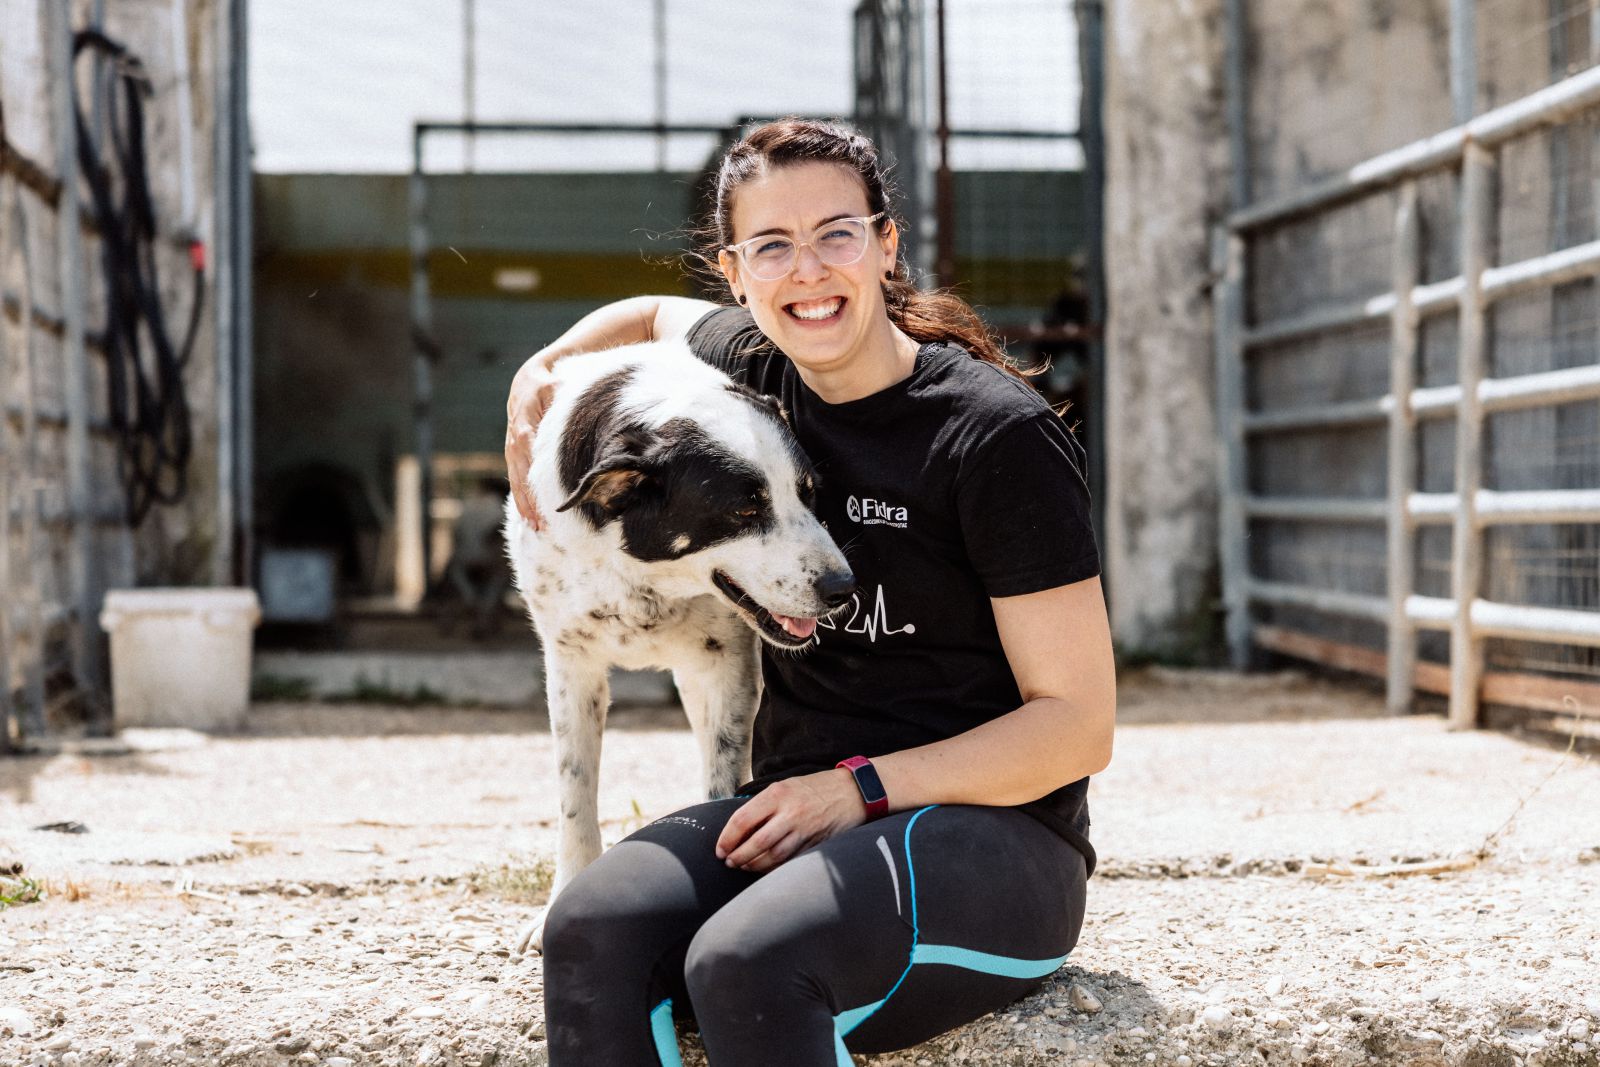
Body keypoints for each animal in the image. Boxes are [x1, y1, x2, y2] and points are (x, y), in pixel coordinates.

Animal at [503, 340, 854, 953]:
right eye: (744, 509)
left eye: (809, 495)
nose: (843, 589)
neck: (646, 578)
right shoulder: (571, 661)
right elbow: (575, 792)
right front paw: (556, 904)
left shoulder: (727, 663)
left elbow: (721, 778)